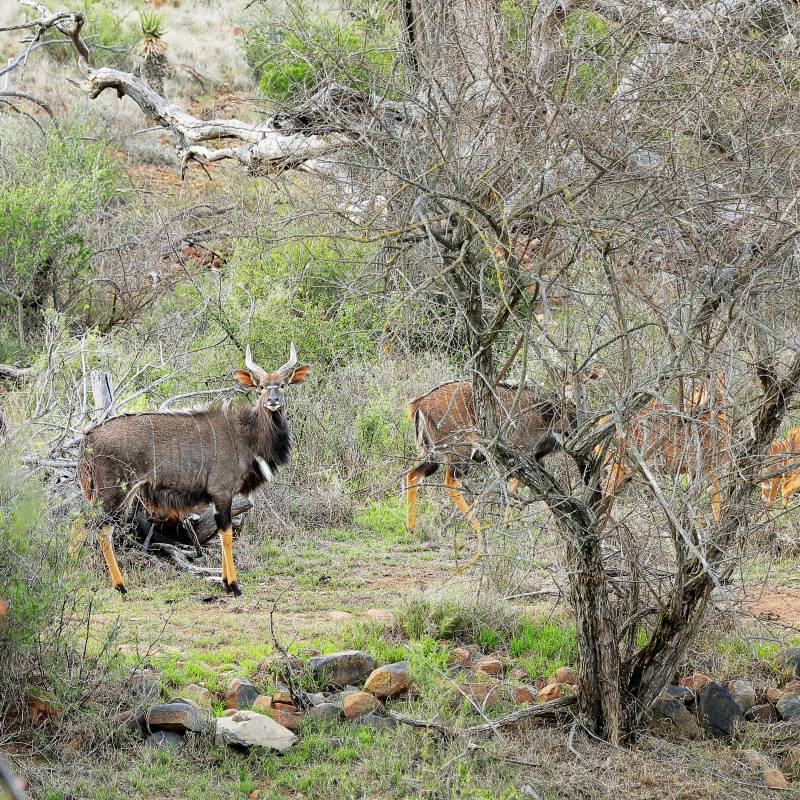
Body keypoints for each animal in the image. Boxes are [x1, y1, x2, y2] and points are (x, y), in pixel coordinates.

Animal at [76, 344, 310, 596]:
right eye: (261, 387)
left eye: (283, 384)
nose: (273, 400)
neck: (245, 434)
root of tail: (88, 436)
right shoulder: (221, 491)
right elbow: (226, 534)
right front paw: (234, 585)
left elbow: (222, 532)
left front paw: (223, 581)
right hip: (113, 493)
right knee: (98, 530)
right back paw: (120, 586)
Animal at [404, 380, 575, 551]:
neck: (546, 414)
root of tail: (419, 404)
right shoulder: (518, 455)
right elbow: (515, 484)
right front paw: (508, 525)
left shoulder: (534, 460)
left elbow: (544, 491)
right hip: (459, 451)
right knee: (451, 483)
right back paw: (479, 531)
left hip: (431, 453)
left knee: (413, 475)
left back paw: (411, 528)